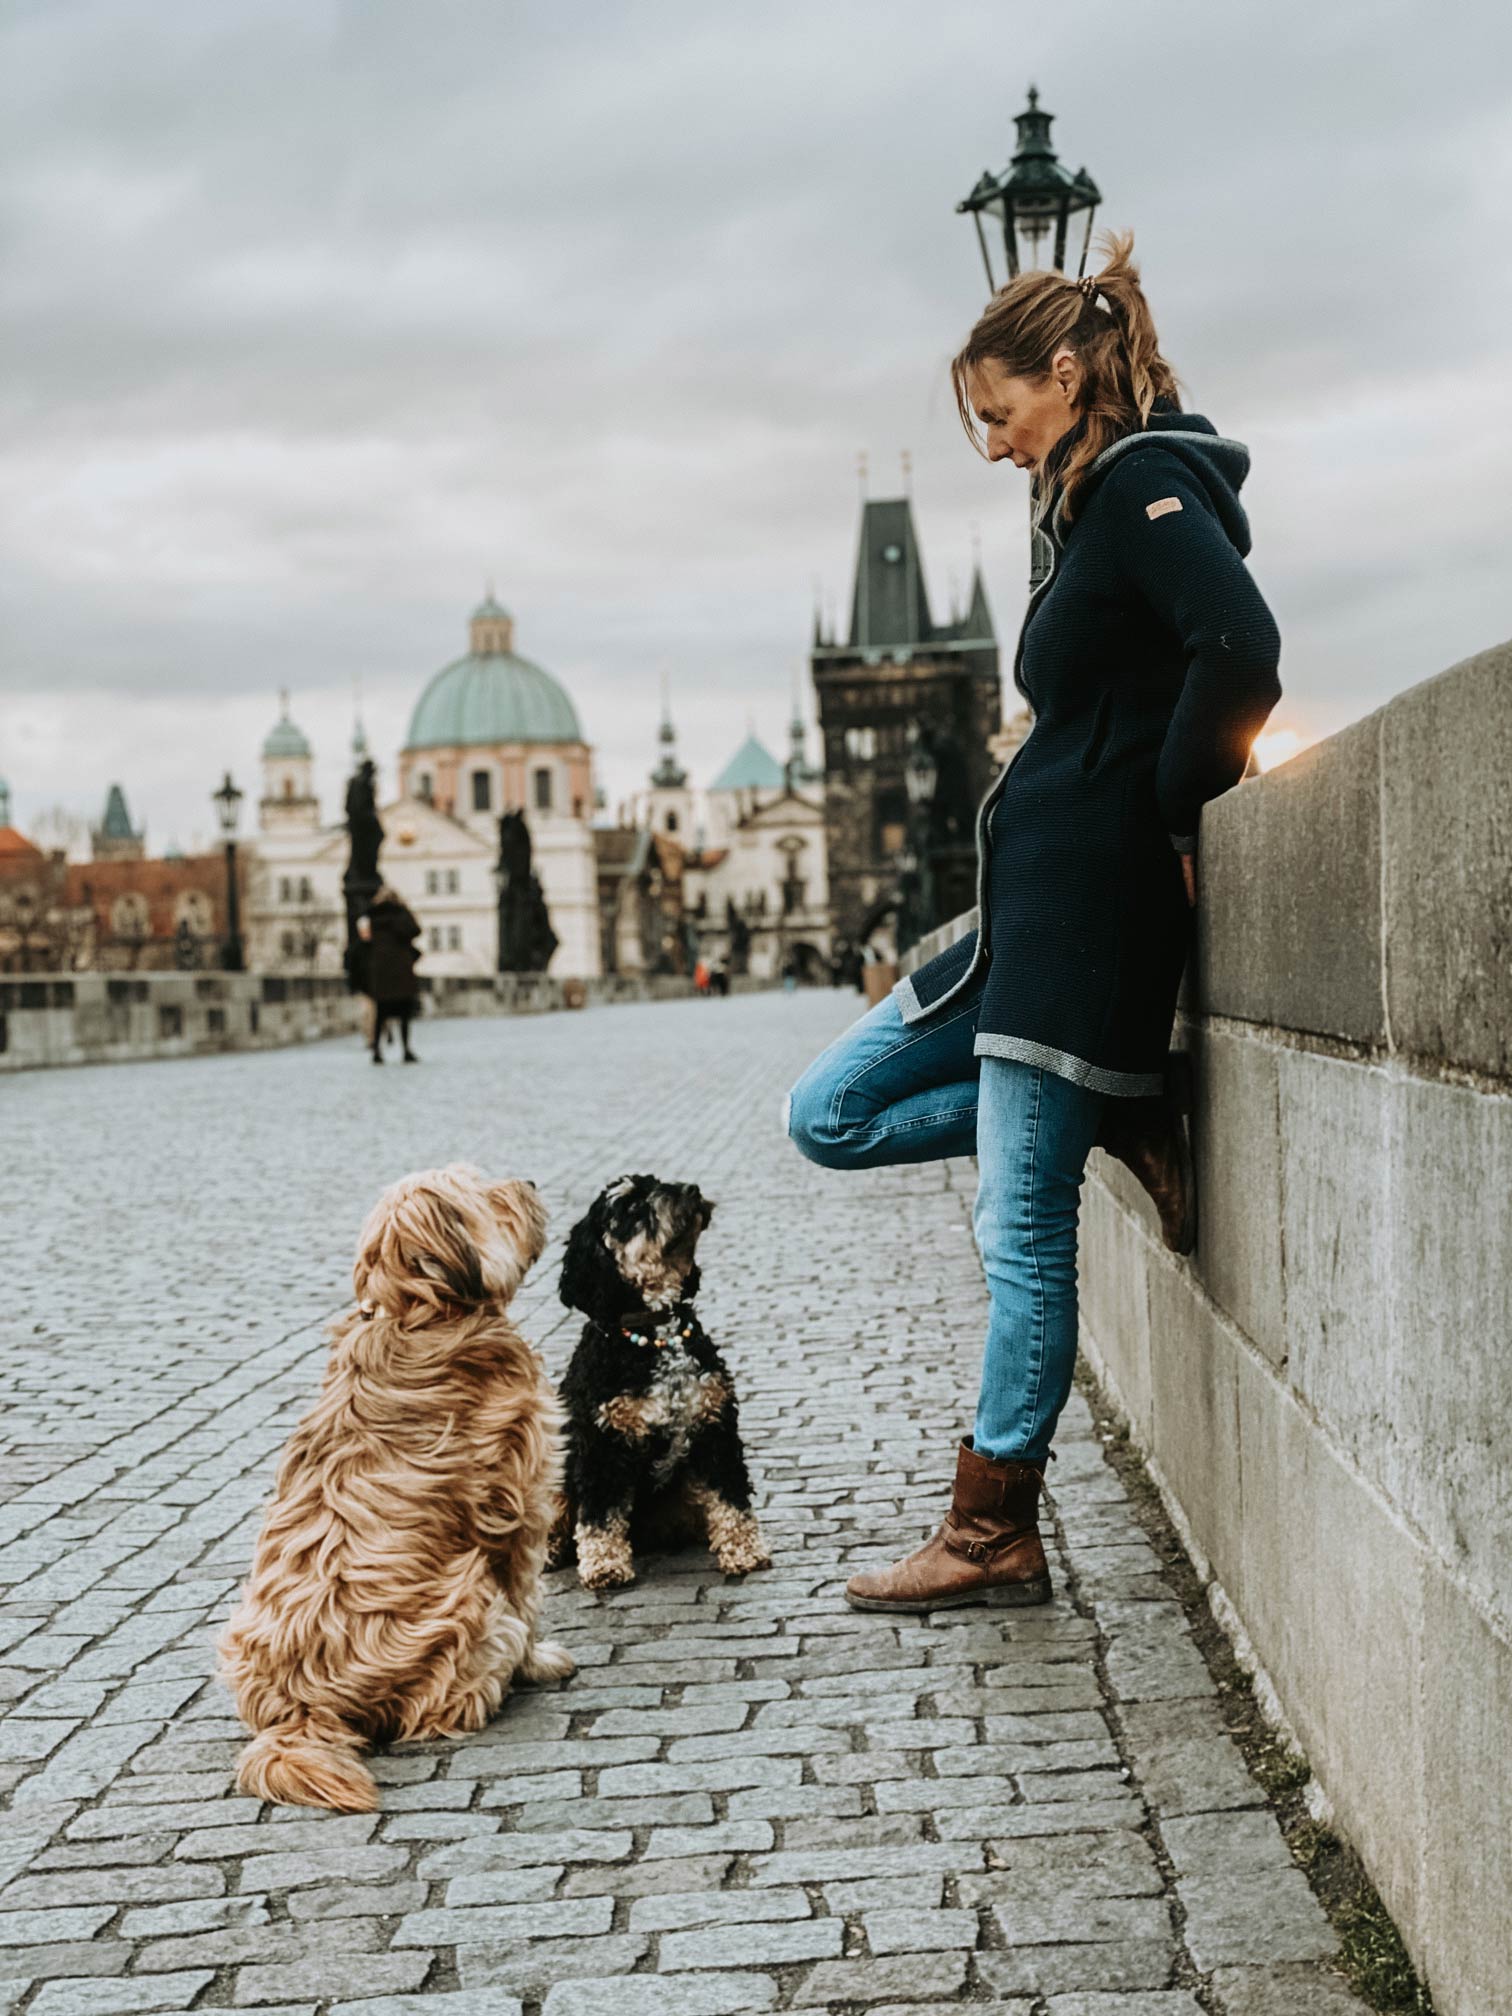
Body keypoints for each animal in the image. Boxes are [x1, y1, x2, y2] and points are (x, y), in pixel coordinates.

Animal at [213, 1161, 568, 1822]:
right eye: (487, 1194)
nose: (530, 1183)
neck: (420, 1314)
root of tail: (303, 1709)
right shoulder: (518, 1502)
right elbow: (526, 1590)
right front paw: (541, 1662)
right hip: (473, 1600)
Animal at [552, 1169, 774, 1588]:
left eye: (658, 1182)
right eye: (630, 1206)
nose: (692, 1190)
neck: (656, 1332)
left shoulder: (715, 1428)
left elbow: (731, 1497)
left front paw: (744, 1550)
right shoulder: (601, 1442)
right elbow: (599, 1513)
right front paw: (604, 1564)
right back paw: (552, 1549)